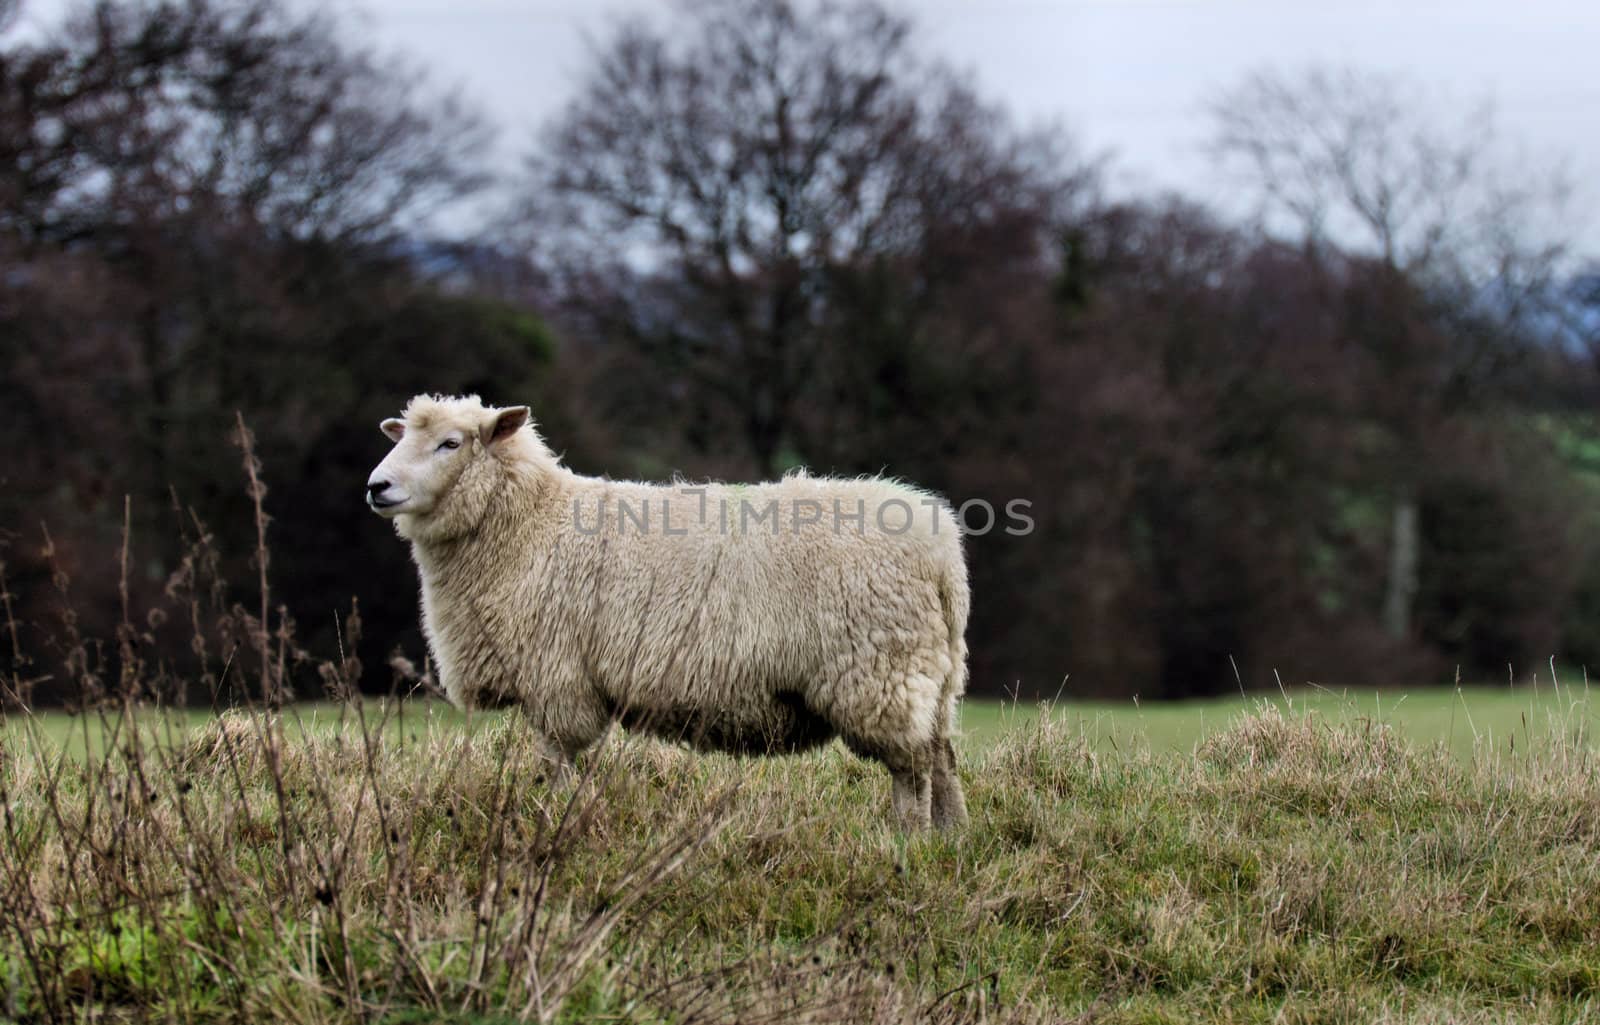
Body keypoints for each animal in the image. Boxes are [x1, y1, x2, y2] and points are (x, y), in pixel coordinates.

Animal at [368, 393, 966, 831]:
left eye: (450, 443)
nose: (377, 487)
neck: (530, 522)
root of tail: (939, 547)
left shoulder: (557, 676)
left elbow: (554, 759)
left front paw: (549, 818)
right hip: (931, 675)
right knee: (942, 755)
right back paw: (948, 838)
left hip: (881, 671)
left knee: (913, 768)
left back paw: (908, 838)